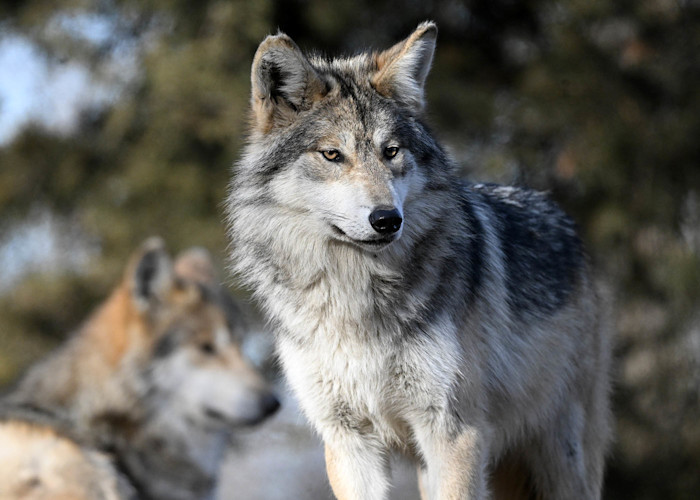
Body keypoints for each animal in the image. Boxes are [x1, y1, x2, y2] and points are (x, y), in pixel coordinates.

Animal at [226, 21, 611, 500]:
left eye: (391, 151)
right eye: (331, 154)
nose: (387, 219)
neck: (356, 297)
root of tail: (565, 221)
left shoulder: (454, 432)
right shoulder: (348, 439)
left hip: (561, 458)